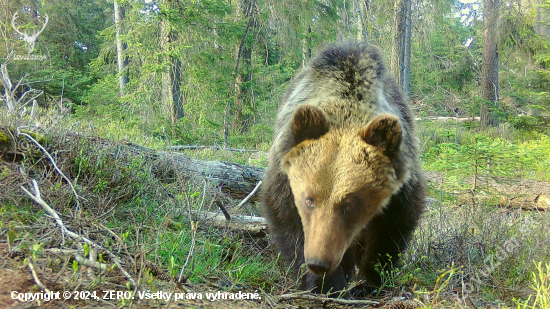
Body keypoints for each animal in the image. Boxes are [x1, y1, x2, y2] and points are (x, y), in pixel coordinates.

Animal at [264, 41, 426, 294]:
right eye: (309, 200)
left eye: (349, 204)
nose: (319, 263)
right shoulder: (284, 175)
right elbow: (287, 218)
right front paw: (325, 282)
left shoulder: (402, 187)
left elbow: (392, 227)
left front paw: (368, 281)